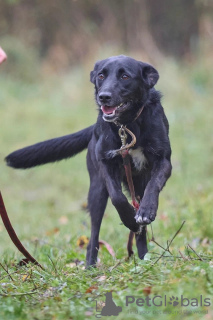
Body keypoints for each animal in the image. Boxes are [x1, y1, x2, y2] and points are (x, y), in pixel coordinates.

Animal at [5, 55, 171, 268]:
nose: (104, 96)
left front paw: (147, 211)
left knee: (139, 227)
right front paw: (128, 219)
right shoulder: (106, 164)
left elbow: (153, 185)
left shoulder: (163, 161)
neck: (127, 125)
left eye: (125, 76)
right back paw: (90, 265)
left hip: (137, 185)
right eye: (101, 76)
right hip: (96, 191)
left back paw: (143, 258)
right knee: (94, 234)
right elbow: (117, 197)